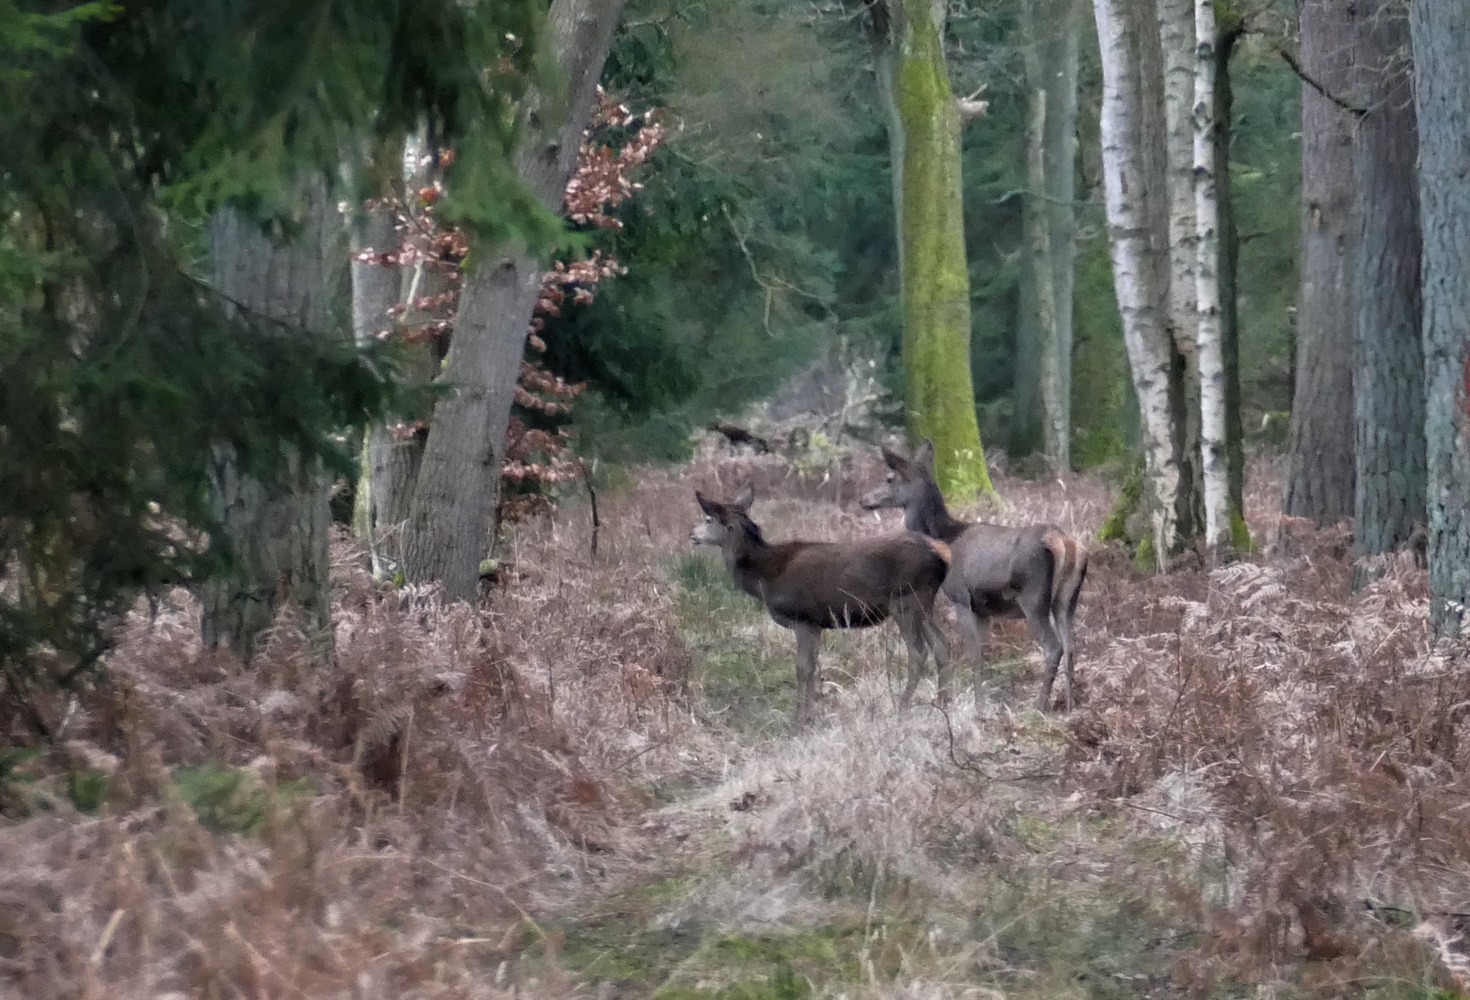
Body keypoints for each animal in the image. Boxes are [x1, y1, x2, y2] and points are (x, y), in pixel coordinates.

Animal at [693, 485, 958, 726]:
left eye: (707, 519)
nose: (692, 534)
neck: (763, 578)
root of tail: (944, 554)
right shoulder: (816, 623)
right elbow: (813, 667)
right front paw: (813, 716)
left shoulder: (801, 618)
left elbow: (802, 668)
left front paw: (799, 721)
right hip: (923, 602)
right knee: (941, 644)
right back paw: (943, 703)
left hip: (905, 600)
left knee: (918, 652)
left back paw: (902, 708)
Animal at [858, 438, 1087, 711]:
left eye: (889, 478)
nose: (863, 500)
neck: (947, 538)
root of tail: (1063, 542)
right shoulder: (983, 609)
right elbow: (983, 653)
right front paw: (981, 701)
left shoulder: (961, 597)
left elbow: (974, 654)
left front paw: (979, 707)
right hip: (1067, 600)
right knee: (1071, 646)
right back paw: (1070, 706)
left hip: (1033, 597)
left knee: (1054, 647)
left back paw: (1039, 706)